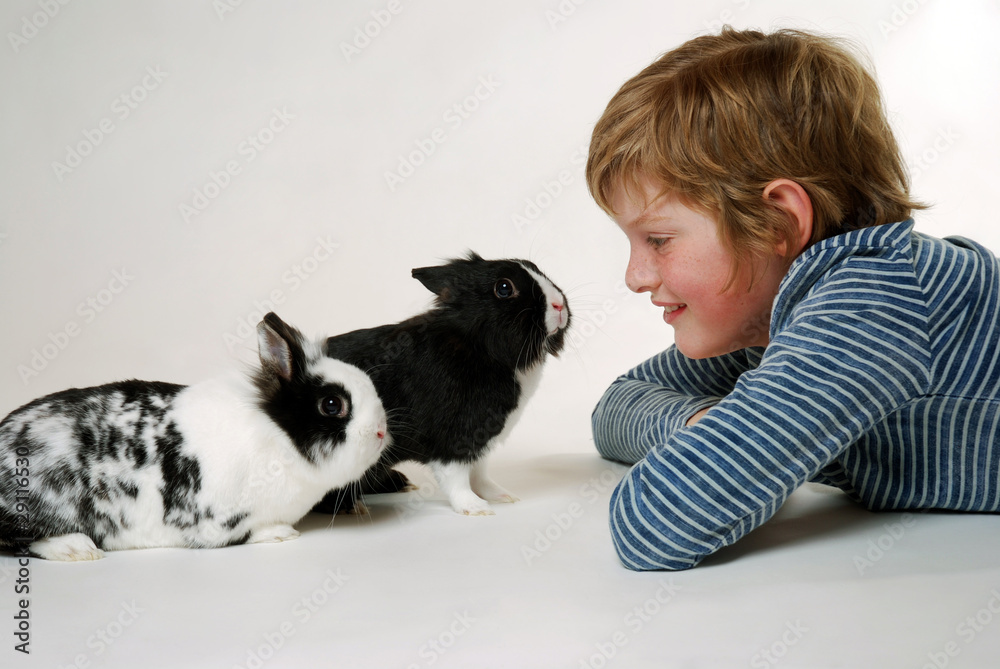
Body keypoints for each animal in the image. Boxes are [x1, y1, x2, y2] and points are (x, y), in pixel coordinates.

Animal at [0, 312, 388, 561]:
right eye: (332, 404)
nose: (382, 432)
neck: (279, 436)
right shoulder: (219, 522)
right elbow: (250, 532)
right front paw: (281, 533)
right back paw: (75, 548)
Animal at [312, 252, 571, 516]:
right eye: (504, 288)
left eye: (534, 267)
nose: (559, 305)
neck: (480, 345)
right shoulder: (453, 439)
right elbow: (456, 476)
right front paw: (474, 507)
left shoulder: (481, 439)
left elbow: (480, 473)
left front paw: (501, 496)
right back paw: (351, 506)